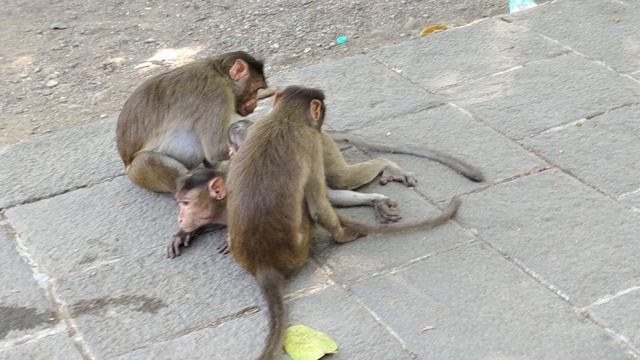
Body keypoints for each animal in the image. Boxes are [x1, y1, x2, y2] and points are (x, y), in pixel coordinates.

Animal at [115, 50, 270, 194]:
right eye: (256, 90)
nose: (255, 104)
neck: (220, 75)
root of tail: (125, 162)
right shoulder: (216, 94)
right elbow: (216, 149)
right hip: (139, 174)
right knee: (147, 160)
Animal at [225, 87, 460, 360]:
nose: (232, 145)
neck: (281, 119)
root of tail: (263, 265)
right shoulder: (309, 143)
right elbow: (321, 200)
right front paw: (368, 208)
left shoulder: (313, 143)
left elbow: (321, 199)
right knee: (336, 182)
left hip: (323, 146)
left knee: (339, 179)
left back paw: (385, 164)